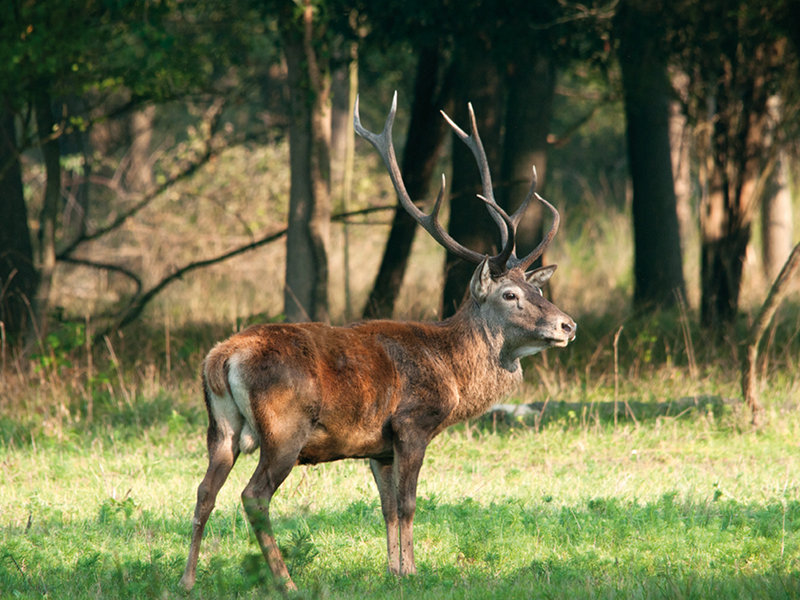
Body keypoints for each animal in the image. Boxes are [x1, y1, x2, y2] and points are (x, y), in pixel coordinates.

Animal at [180, 91, 576, 592]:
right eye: (510, 295)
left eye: (537, 289)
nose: (567, 326)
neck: (453, 373)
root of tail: (222, 358)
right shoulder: (412, 423)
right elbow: (408, 504)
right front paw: (413, 572)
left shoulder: (378, 447)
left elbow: (386, 507)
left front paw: (393, 570)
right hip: (284, 427)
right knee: (254, 495)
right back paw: (286, 582)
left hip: (221, 428)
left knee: (203, 490)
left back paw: (187, 579)